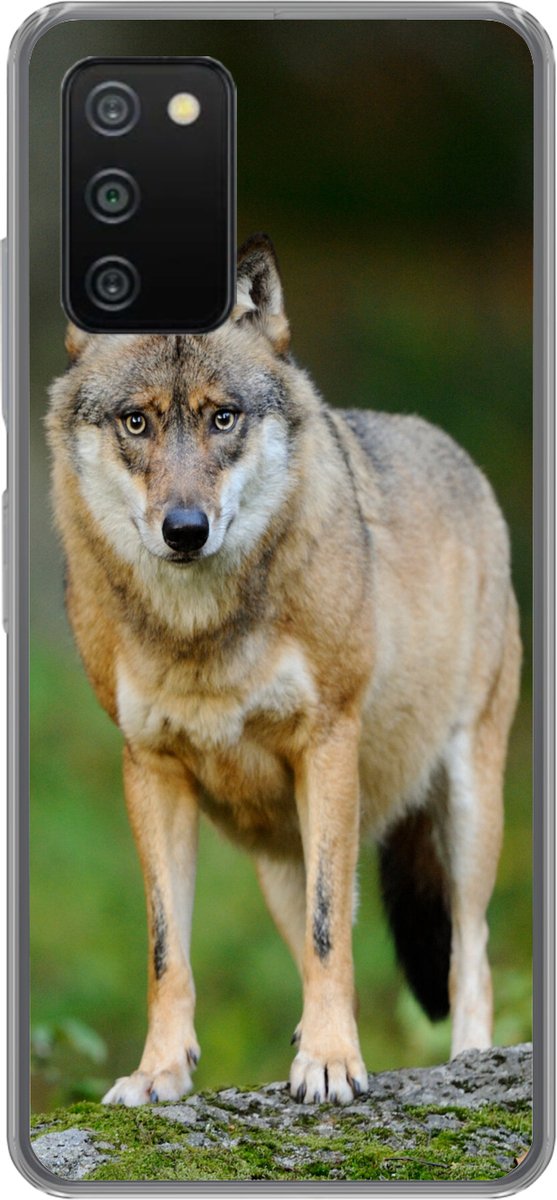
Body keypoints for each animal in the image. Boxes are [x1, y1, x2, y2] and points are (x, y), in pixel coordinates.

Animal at [47, 234, 521, 1107]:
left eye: (222, 417)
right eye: (137, 422)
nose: (185, 529)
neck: (201, 636)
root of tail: (453, 451)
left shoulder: (327, 742)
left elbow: (334, 933)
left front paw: (332, 1063)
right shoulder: (148, 769)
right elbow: (167, 950)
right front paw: (160, 1072)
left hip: (467, 806)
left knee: (467, 951)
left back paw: (465, 1064)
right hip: (278, 856)